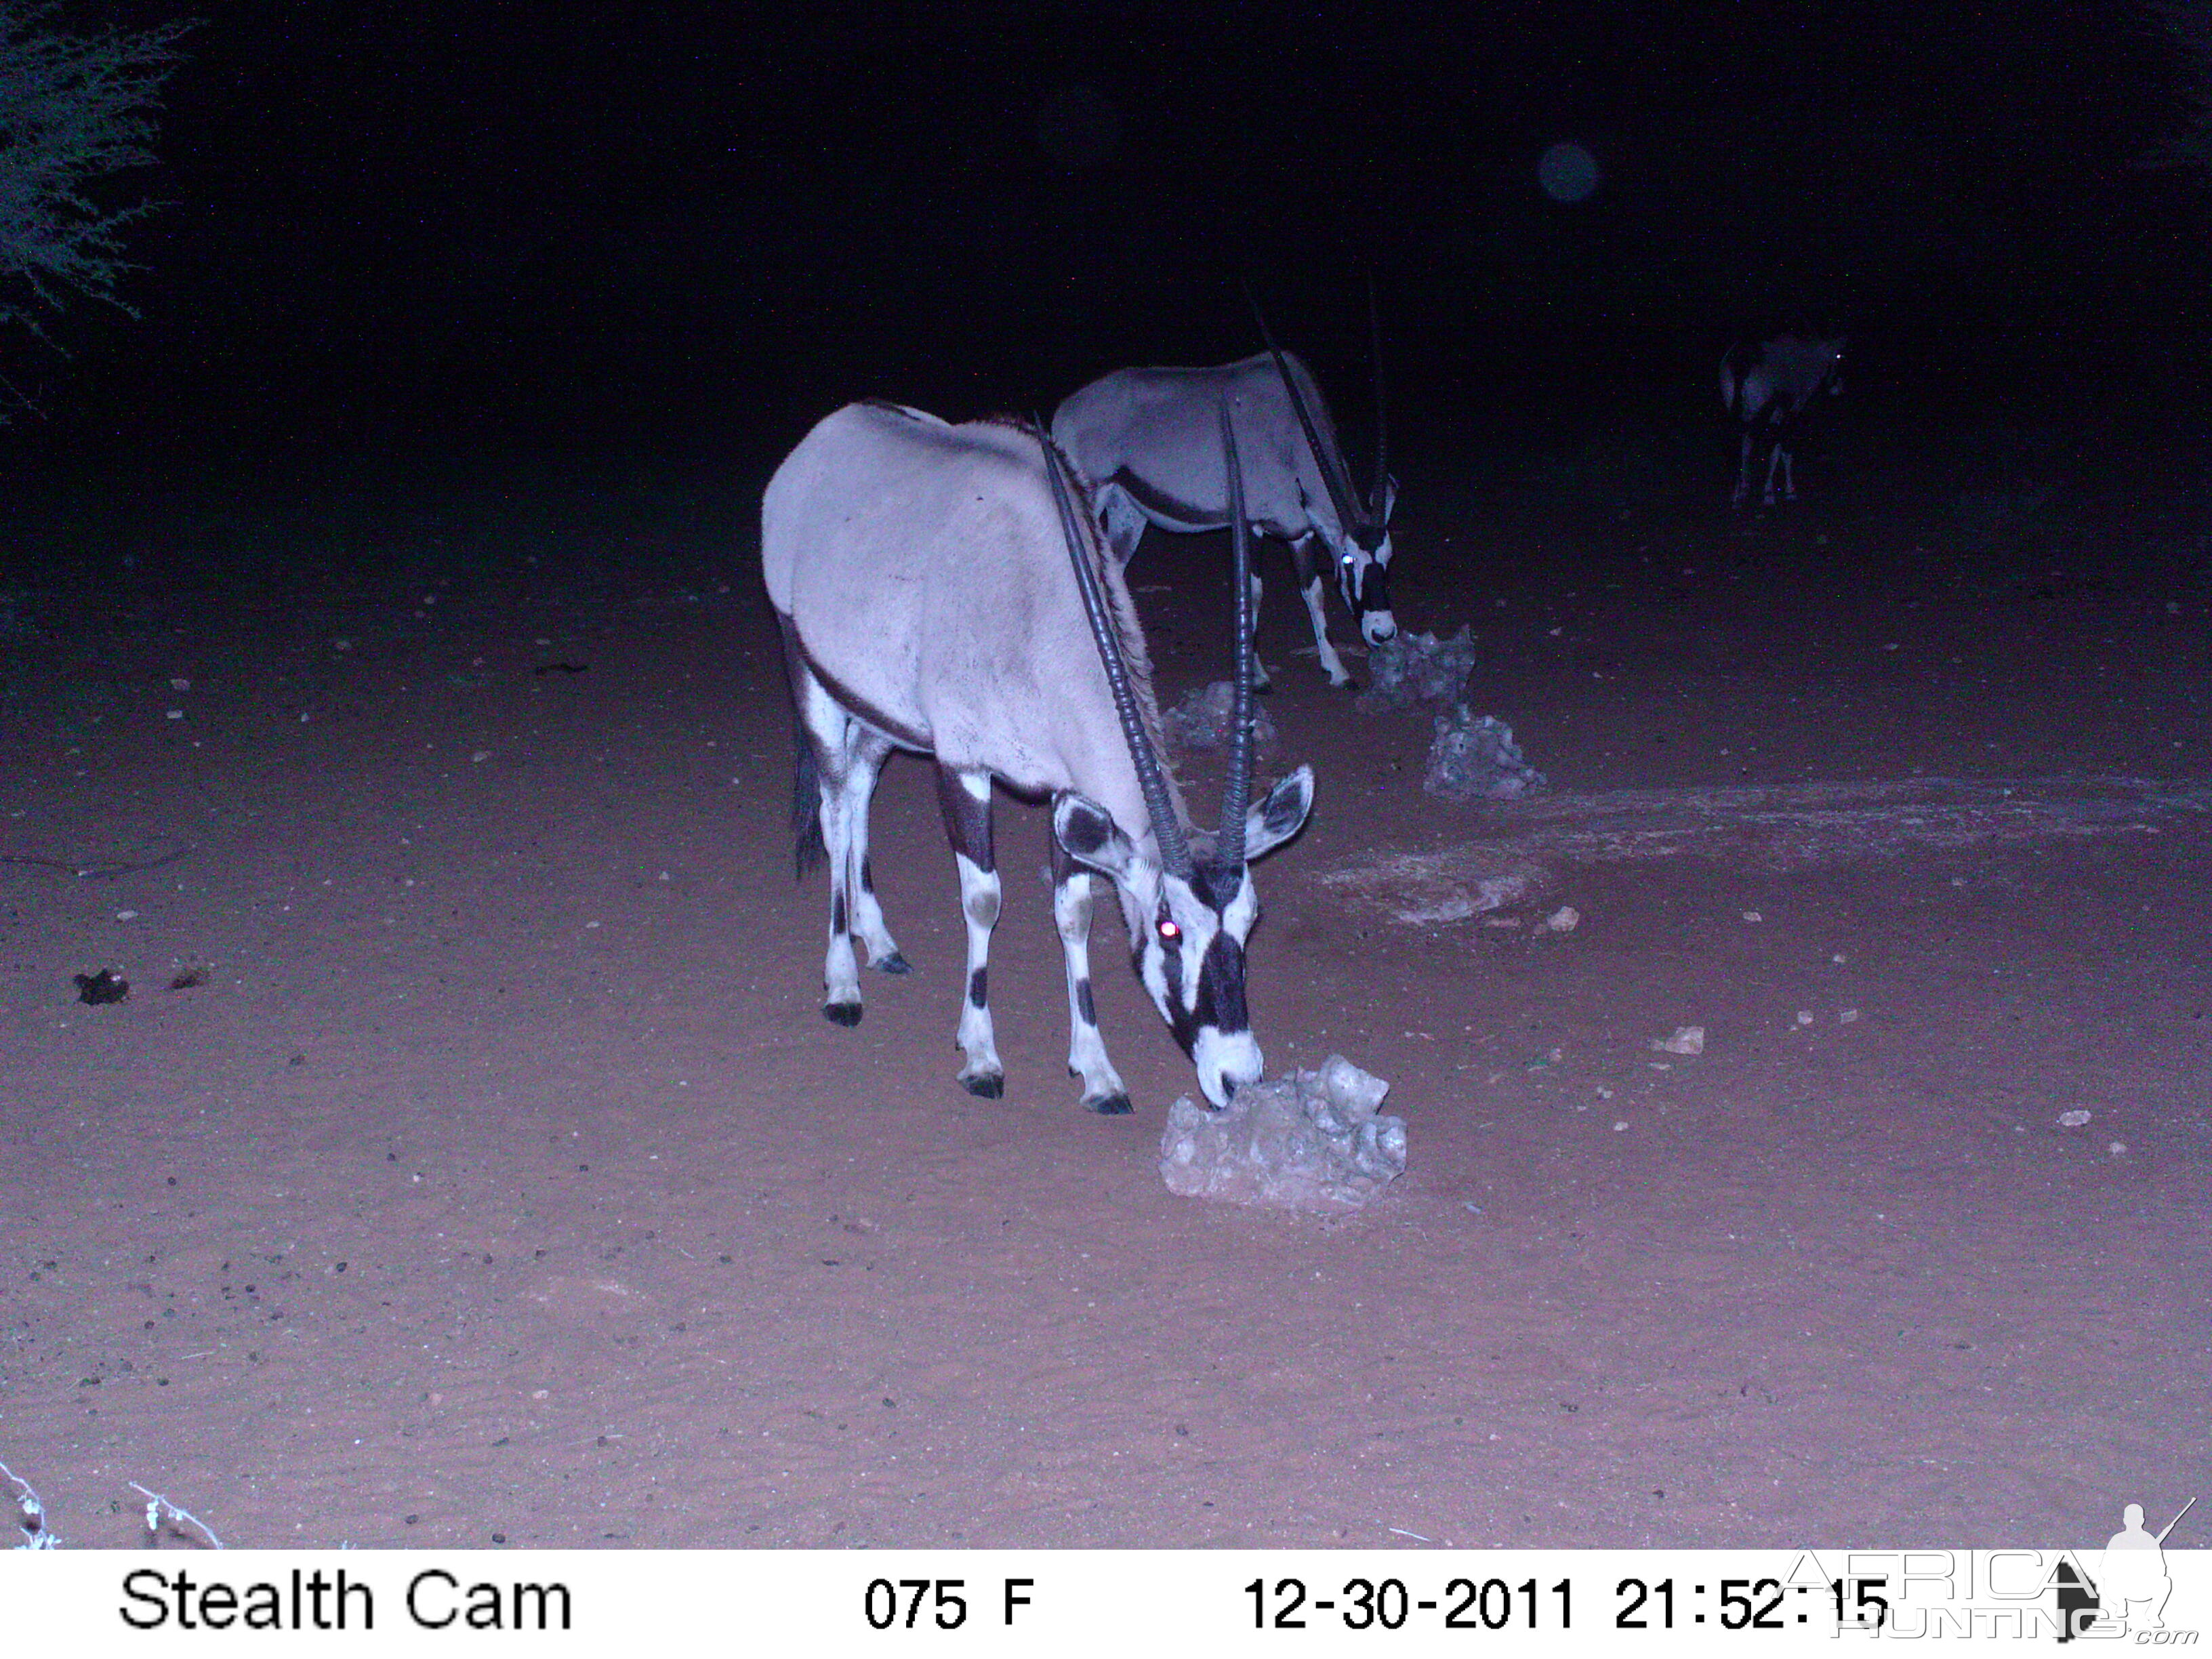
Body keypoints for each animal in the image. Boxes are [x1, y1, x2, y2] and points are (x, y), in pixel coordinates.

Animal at [760, 400, 1309, 1119]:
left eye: (1251, 921)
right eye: (1169, 928)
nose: (1238, 1079)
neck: (1034, 605)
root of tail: (822, 437)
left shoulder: (1064, 789)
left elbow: (1072, 914)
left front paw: (1098, 1071)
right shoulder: (962, 765)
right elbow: (983, 900)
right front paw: (981, 1057)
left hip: (885, 714)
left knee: (856, 790)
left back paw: (876, 940)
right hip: (810, 674)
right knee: (832, 809)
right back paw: (843, 982)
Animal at [1057, 309, 1397, 685]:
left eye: (1388, 558)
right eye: (1349, 561)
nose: (1383, 633)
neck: (1293, 436)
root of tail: (1063, 414)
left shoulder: (1299, 530)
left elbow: (1314, 591)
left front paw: (1336, 669)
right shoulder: (1254, 523)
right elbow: (1254, 592)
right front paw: (1257, 675)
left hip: (1126, 512)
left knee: (1112, 570)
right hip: (1090, 495)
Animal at [1716, 329, 1840, 499]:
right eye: (1837, 356)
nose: (1836, 387)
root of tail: (1741, 363)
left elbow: (1753, 446)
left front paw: (1747, 486)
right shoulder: (1790, 412)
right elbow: (1781, 449)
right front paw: (1786, 490)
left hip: (1739, 409)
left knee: (1740, 442)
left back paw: (1738, 492)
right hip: (1761, 412)